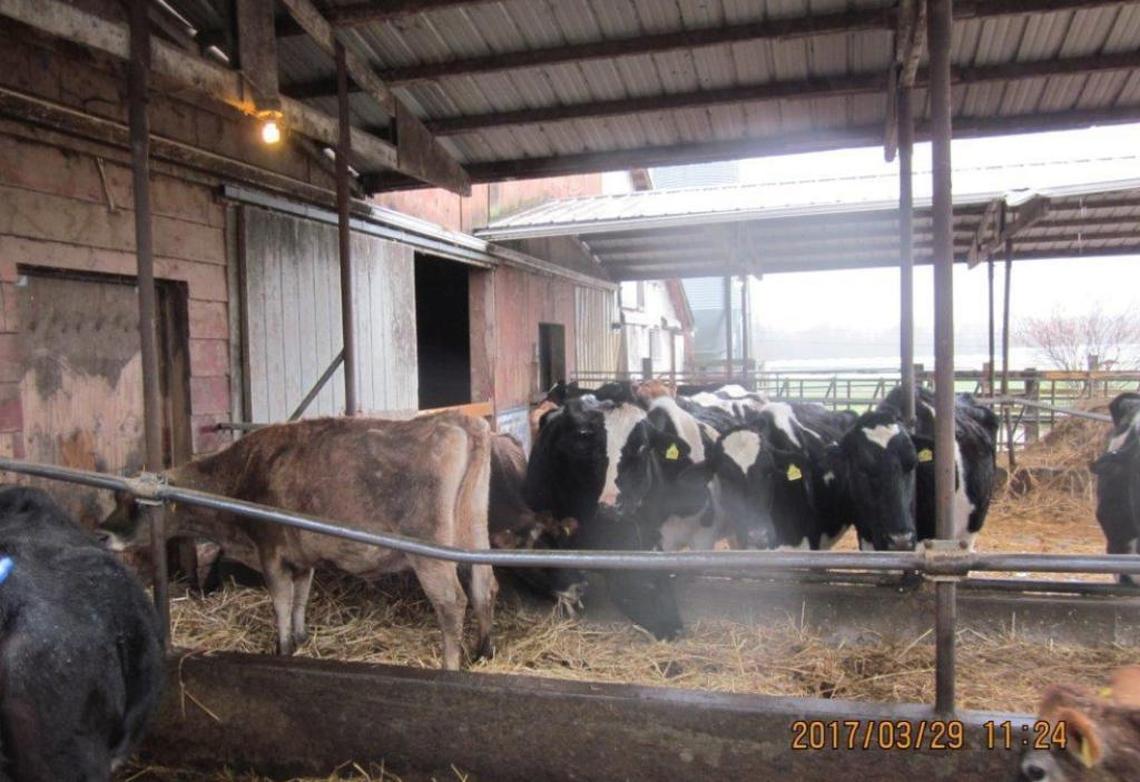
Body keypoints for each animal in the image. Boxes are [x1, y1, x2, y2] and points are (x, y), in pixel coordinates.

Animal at [99, 414, 496, 670]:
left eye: (136, 503)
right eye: (116, 497)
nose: (101, 533)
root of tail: (461, 421)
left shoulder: (271, 552)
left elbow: (281, 601)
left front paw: (284, 647)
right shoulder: (302, 556)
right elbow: (302, 596)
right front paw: (302, 637)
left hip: (430, 553)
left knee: (452, 602)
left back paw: (449, 665)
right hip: (474, 531)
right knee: (484, 586)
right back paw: (483, 651)